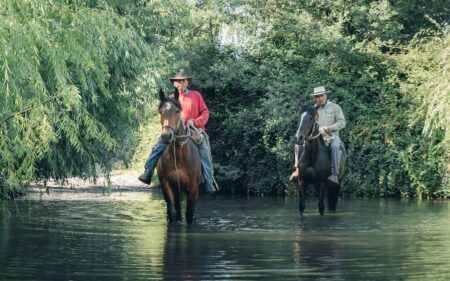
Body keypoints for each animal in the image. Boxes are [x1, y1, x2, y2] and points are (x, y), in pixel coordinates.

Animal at [157, 88, 201, 223]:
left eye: (177, 111)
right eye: (161, 111)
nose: (166, 136)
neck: (181, 157)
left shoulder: (193, 189)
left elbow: (189, 215)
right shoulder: (168, 186)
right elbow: (172, 213)